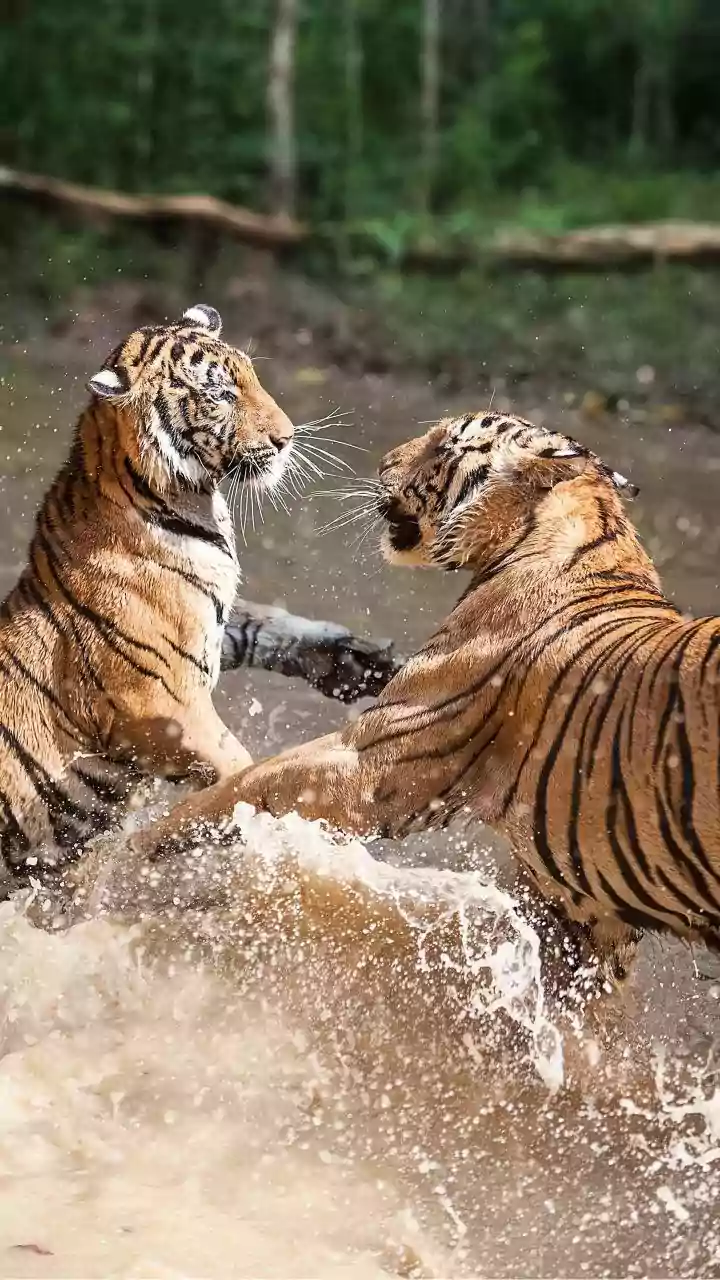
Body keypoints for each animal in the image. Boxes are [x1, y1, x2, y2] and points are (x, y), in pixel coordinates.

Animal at [0, 301, 297, 889]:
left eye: (252, 376)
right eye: (220, 394)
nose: (287, 438)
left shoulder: (207, 632)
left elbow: (271, 628)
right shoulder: (159, 702)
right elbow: (236, 765)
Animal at [129, 408, 720, 988]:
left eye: (442, 446)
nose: (383, 462)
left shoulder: (374, 758)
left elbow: (241, 787)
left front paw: (133, 850)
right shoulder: (583, 913)